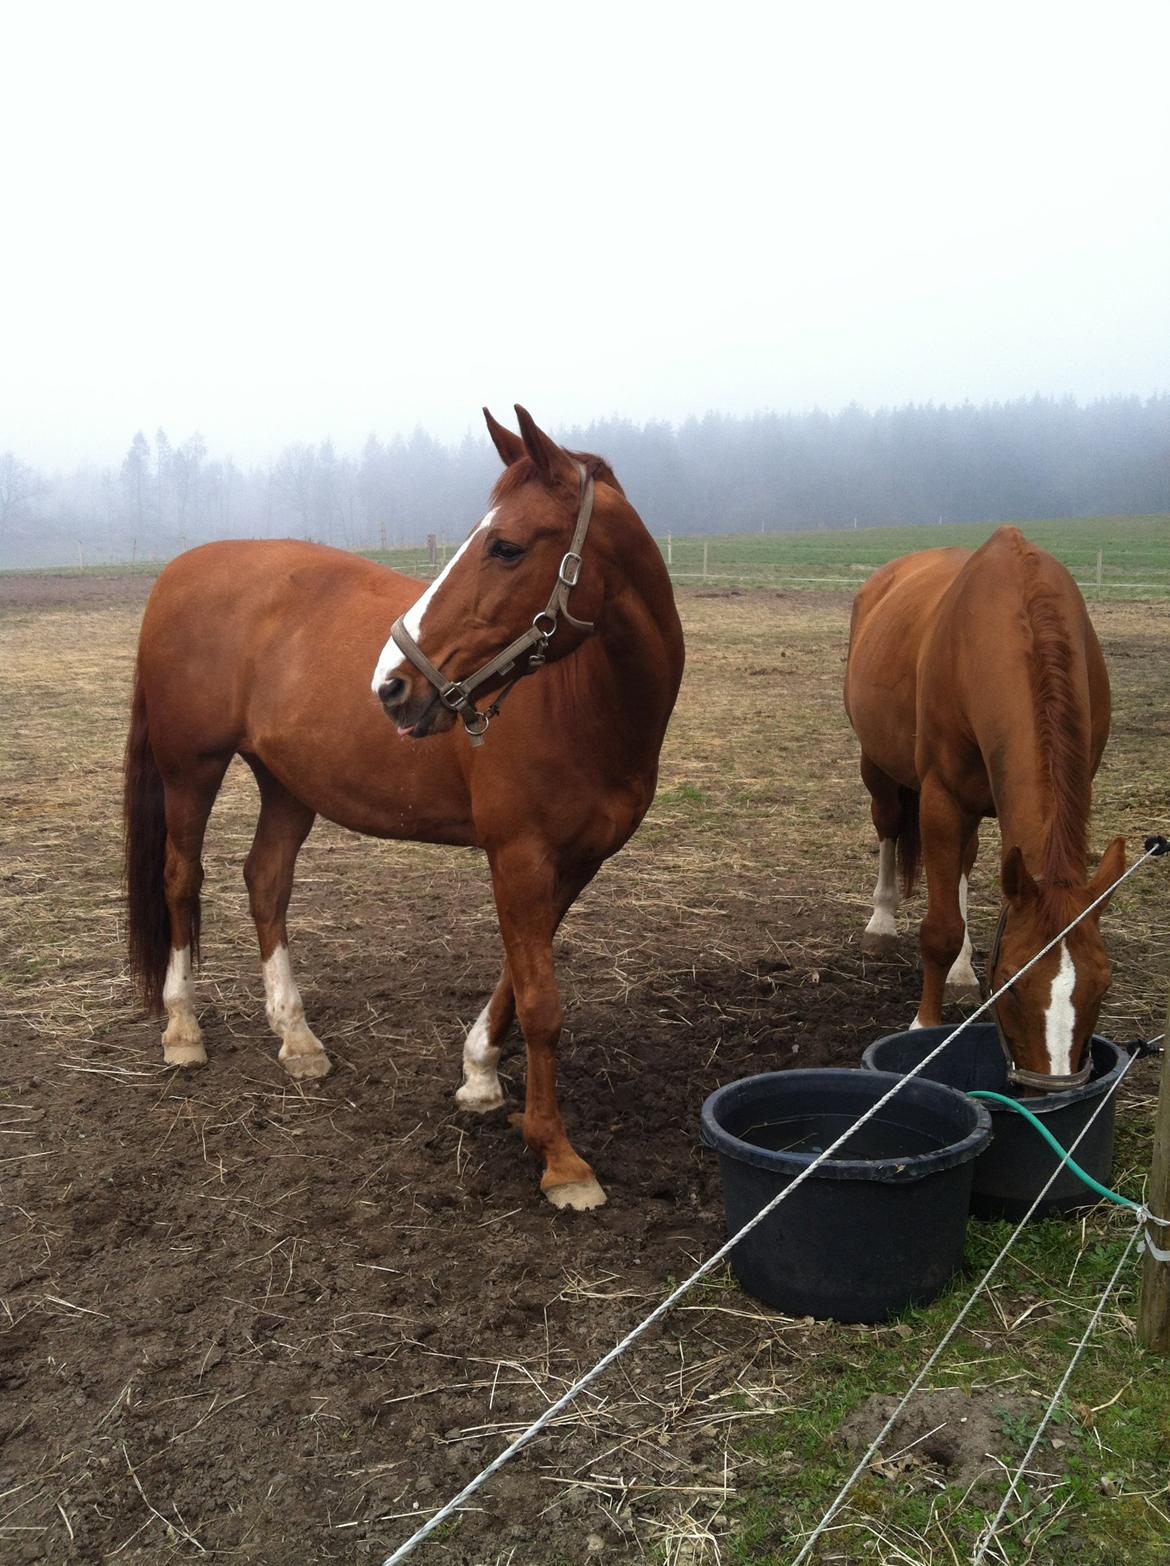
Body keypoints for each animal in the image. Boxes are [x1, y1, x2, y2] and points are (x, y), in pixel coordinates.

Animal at [123, 407, 686, 1208]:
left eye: (506, 546)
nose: (391, 687)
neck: (585, 703)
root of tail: (178, 571)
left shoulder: (575, 862)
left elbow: (519, 977)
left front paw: (480, 1073)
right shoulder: (519, 855)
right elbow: (543, 1004)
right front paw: (559, 1158)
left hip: (287, 783)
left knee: (266, 881)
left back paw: (296, 1037)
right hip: (189, 769)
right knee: (181, 880)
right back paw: (182, 1029)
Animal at [845, 526, 1127, 1089]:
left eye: (1103, 984)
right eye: (1012, 983)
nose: (1050, 1086)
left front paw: (961, 970)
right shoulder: (942, 800)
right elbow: (939, 928)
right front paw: (923, 1026)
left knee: (965, 861)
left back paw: (959, 970)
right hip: (880, 770)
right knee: (888, 827)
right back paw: (881, 925)